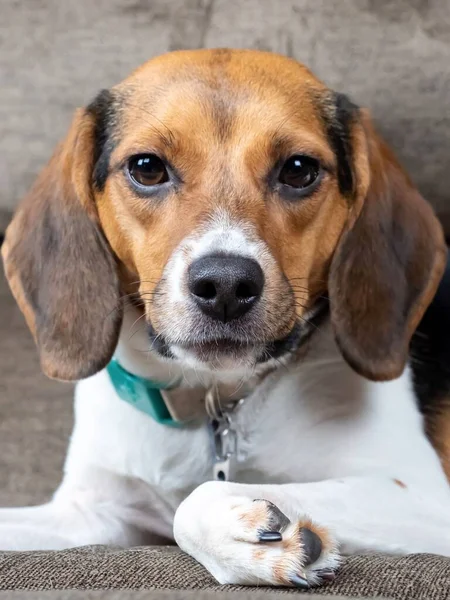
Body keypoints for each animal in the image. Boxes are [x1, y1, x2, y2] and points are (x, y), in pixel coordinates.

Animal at [0, 49, 450, 588]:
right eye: (147, 168)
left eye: (298, 169)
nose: (226, 285)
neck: (214, 397)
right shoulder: (88, 512)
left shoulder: (424, 495)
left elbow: (196, 501)